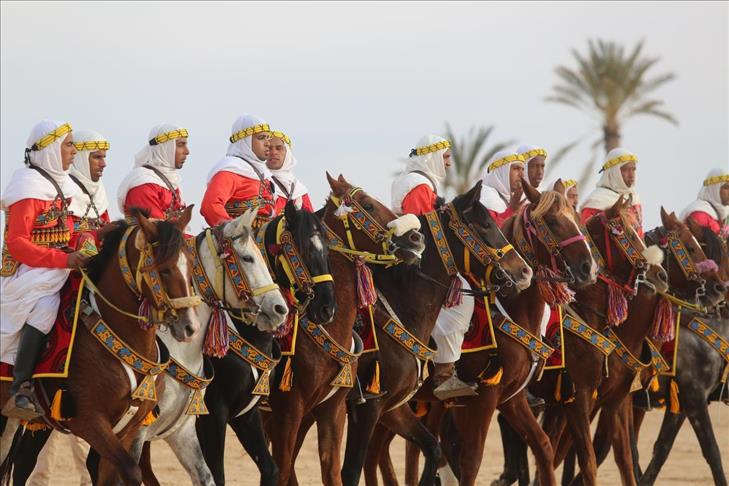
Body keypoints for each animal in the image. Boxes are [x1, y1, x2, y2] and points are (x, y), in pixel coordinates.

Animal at [0, 207, 199, 484]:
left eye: (191, 265)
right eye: (165, 269)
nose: (190, 327)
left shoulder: (127, 431)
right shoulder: (89, 421)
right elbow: (131, 470)